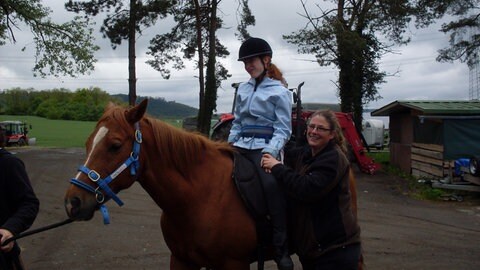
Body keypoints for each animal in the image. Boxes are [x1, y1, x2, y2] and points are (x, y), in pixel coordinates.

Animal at [64, 100, 360, 268]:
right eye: (88, 142)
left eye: (114, 145)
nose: (73, 202)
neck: (199, 198)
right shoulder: (181, 261)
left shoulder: (233, 265)